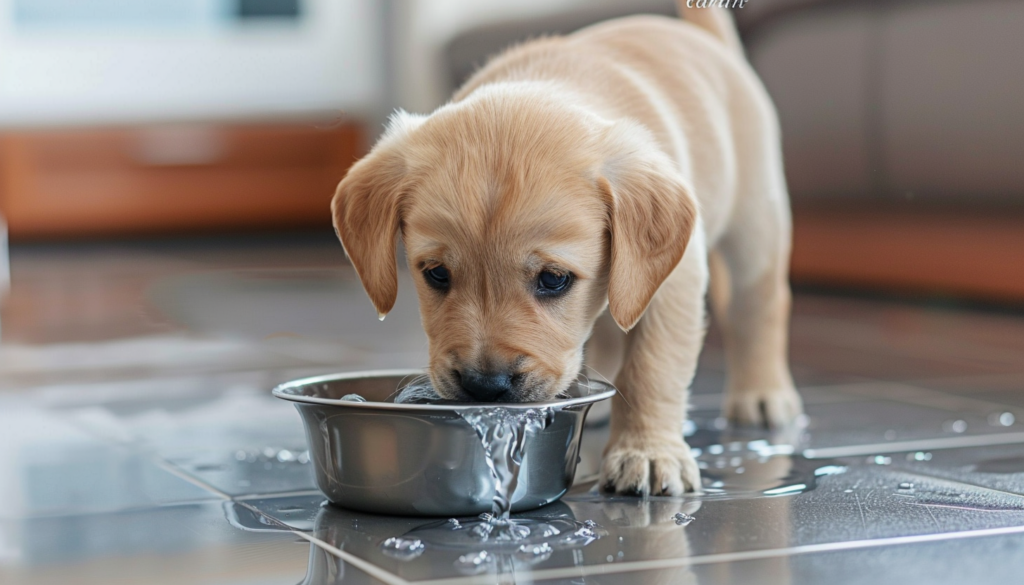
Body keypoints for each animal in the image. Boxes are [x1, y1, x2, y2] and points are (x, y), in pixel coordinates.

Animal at [331, 2, 802, 495]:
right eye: (436, 274)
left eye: (553, 280)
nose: (485, 386)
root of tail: (712, 46)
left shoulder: (673, 281)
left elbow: (652, 367)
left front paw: (648, 452)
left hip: (756, 222)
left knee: (759, 305)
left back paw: (762, 393)